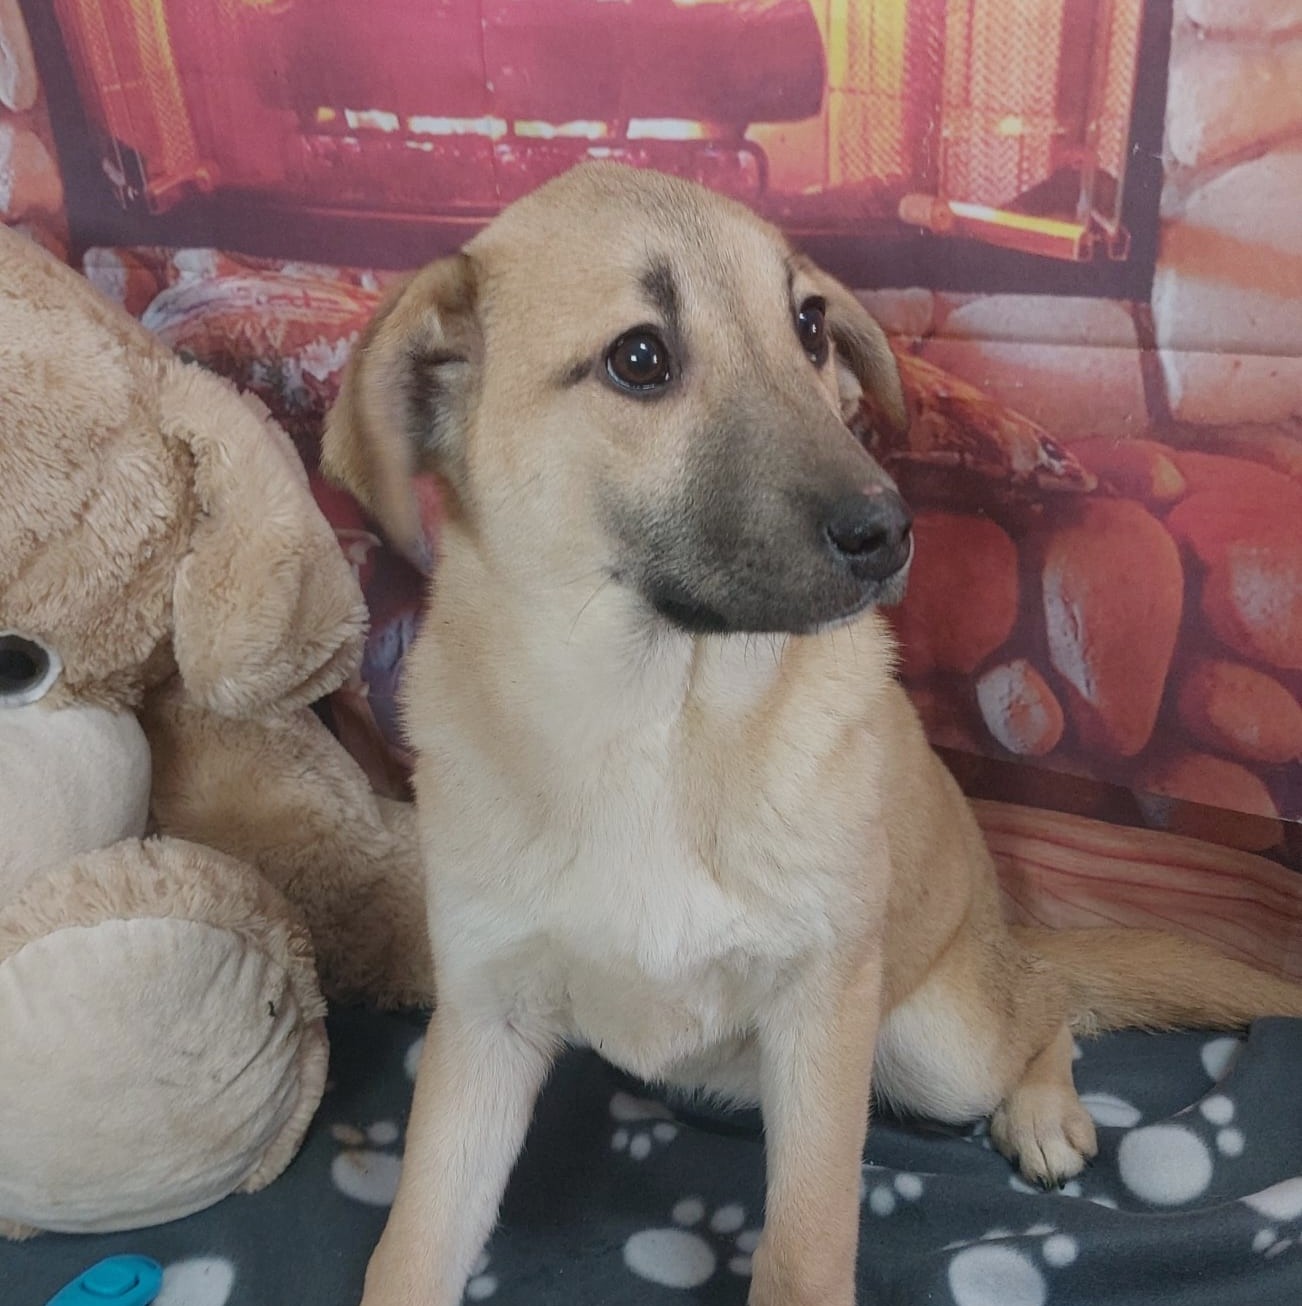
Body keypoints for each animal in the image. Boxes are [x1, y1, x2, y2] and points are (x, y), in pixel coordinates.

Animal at [323, 163, 1302, 1306]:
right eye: (639, 358)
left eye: (809, 326)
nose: (890, 532)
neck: (654, 723)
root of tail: (1000, 934)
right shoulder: (484, 1020)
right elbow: (413, 1243)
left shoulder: (823, 1008)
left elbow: (806, 1245)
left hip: (934, 1038)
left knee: (1045, 1003)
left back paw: (1046, 1108)